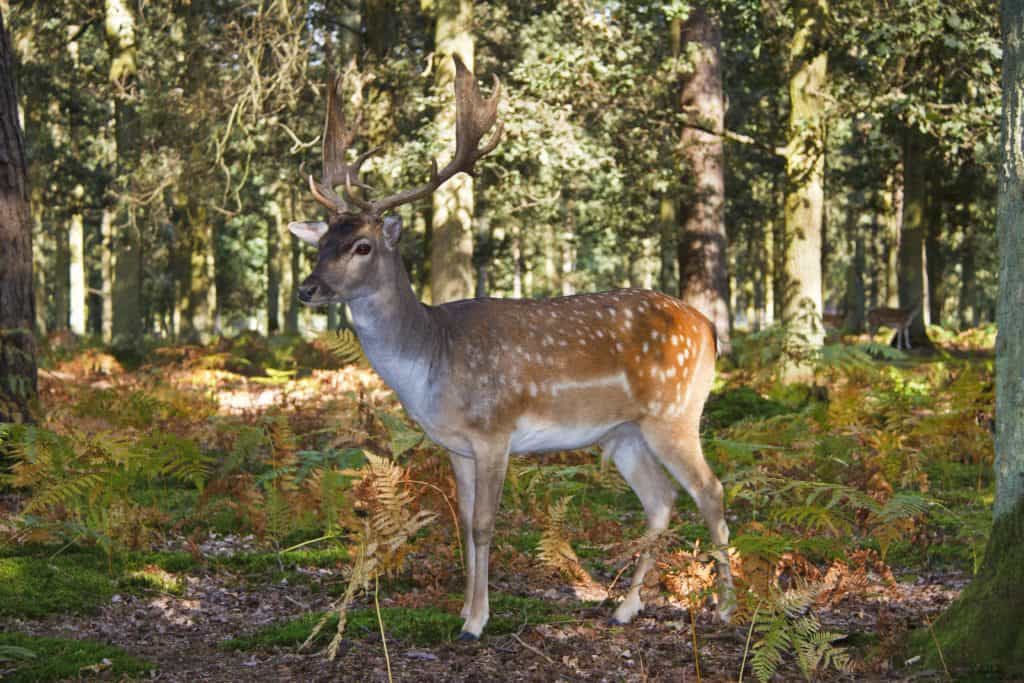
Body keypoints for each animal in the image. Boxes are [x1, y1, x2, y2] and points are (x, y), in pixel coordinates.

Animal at [288, 56, 737, 638]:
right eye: (321, 243)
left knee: (710, 490)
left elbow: (483, 524)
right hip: (624, 433)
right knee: (661, 500)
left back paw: (725, 607)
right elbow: (461, 522)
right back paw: (624, 608)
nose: (307, 289)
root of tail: (708, 328)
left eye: (362, 246)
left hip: (676, 411)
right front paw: (463, 609)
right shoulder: (455, 444)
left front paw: (476, 622)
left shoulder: (494, 432)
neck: (432, 358)